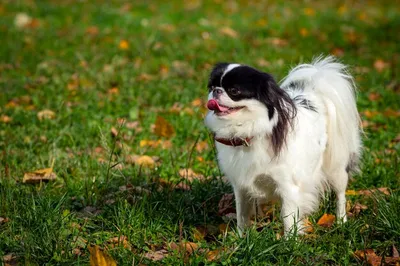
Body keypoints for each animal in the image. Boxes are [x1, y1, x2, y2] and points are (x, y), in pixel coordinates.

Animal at [205, 55, 360, 235]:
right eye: (212, 87)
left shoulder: (288, 187)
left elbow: (288, 217)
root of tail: (315, 92)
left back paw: (341, 221)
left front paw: (290, 240)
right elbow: (242, 214)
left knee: (340, 194)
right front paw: (241, 237)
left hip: (336, 168)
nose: (216, 91)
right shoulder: (241, 186)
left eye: (234, 91)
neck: (248, 134)